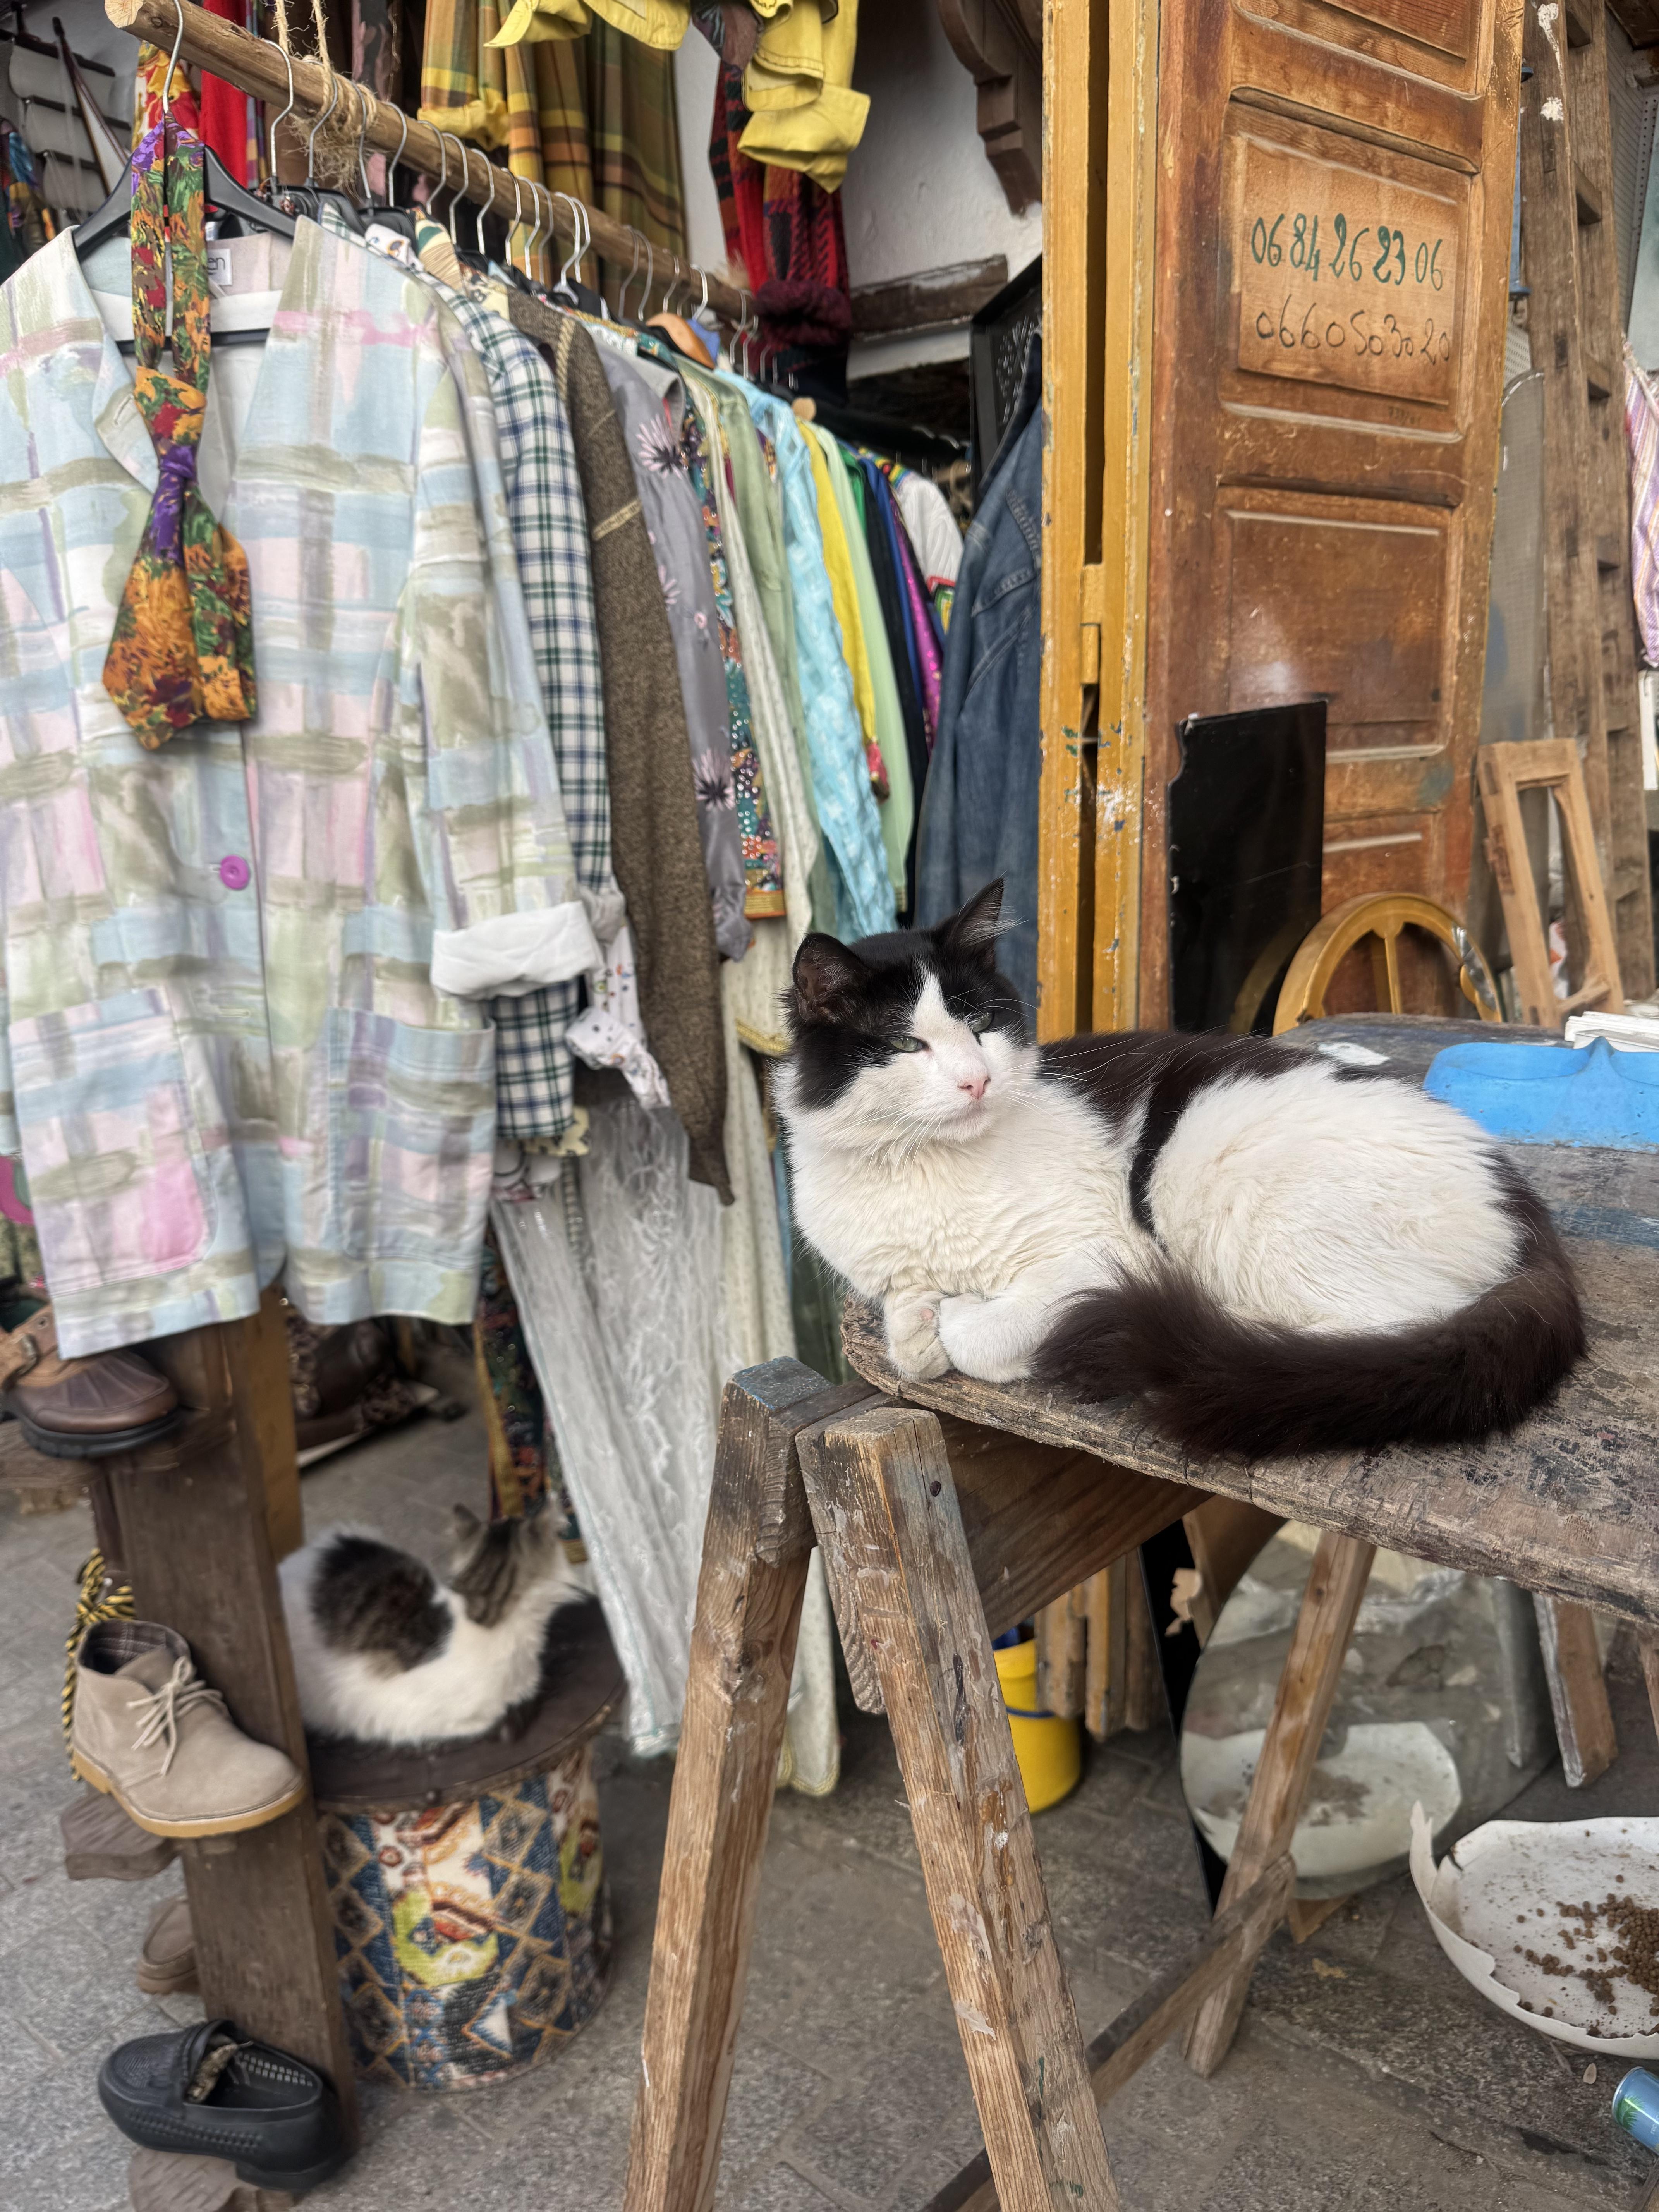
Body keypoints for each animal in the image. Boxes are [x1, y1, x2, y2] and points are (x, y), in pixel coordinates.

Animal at [774, 880, 1585, 1459]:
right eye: (905, 1045)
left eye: (978, 1026)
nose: (975, 1080)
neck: (923, 1166)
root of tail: (1520, 1206)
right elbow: (907, 1330)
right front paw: (917, 1321)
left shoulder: (1100, 1254)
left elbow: (974, 1335)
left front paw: (959, 1324)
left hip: (1241, 1195)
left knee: (1362, 1333)